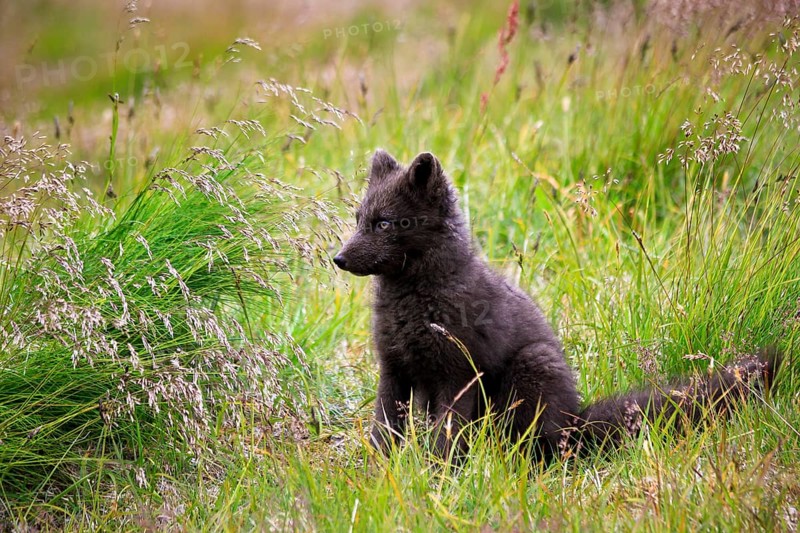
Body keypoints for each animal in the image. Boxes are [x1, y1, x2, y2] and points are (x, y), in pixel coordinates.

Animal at [333, 149, 781, 460]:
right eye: (358, 219)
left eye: (385, 223)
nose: (337, 259)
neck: (413, 300)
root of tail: (577, 422)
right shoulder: (394, 369)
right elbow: (384, 429)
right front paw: (381, 473)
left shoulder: (458, 374)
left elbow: (447, 436)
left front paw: (437, 476)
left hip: (533, 367)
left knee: (541, 447)